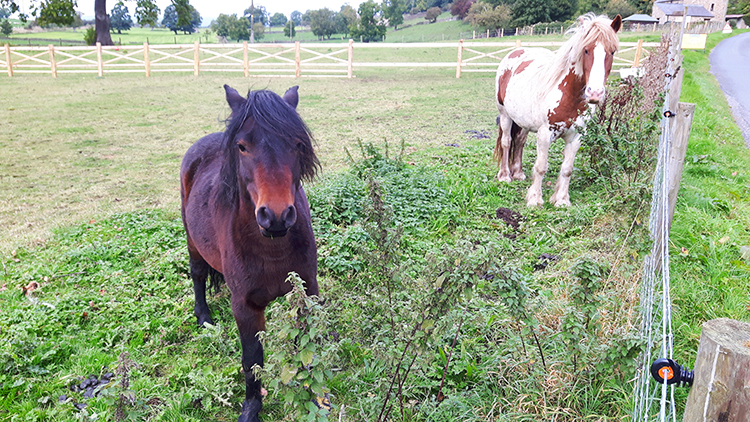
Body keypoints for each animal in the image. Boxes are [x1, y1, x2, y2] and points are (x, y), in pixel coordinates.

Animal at [184, 84, 322, 420]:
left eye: (297, 144)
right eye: (242, 147)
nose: (275, 216)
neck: (270, 248)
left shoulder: (306, 292)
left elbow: (307, 349)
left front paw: (312, 398)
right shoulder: (244, 308)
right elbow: (252, 361)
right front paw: (251, 408)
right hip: (192, 242)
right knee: (197, 275)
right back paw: (203, 317)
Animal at [496, 12, 624, 204]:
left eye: (612, 51)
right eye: (586, 50)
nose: (595, 93)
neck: (568, 96)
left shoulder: (577, 137)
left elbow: (567, 169)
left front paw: (562, 200)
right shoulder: (544, 134)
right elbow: (541, 166)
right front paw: (535, 199)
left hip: (523, 121)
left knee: (519, 141)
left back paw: (518, 173)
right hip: (505, 115)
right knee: (506, 142)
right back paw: (505, 175)